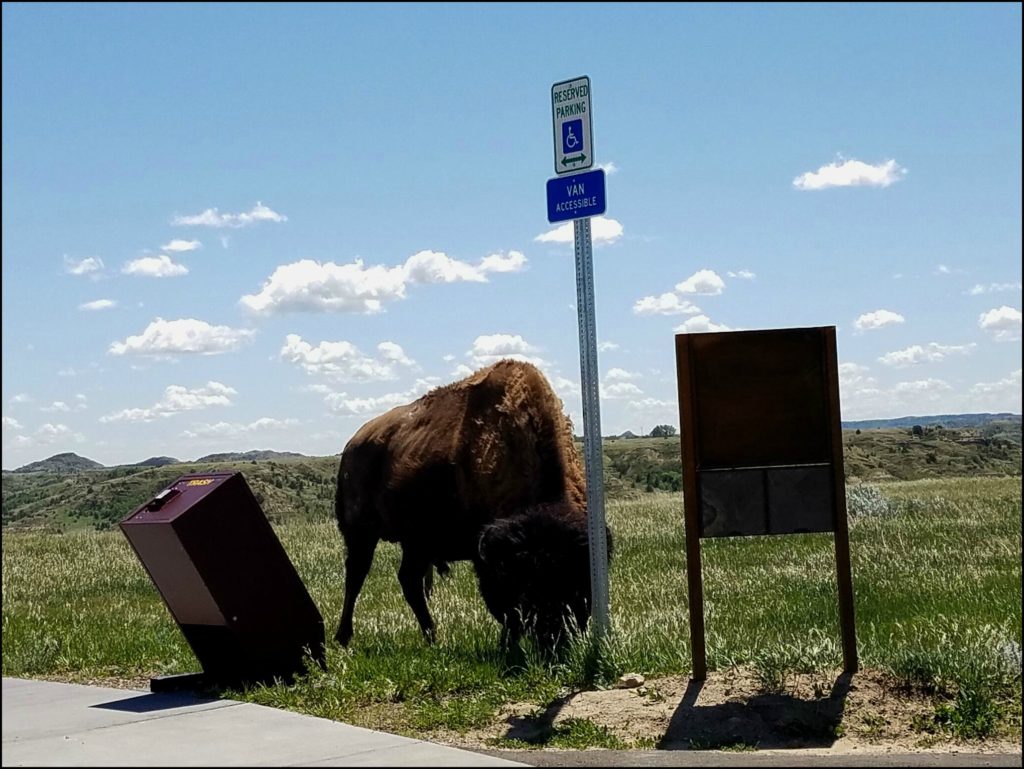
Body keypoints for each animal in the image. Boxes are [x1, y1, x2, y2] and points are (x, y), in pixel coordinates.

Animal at [331, 358, 610, 647]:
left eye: (581, 577)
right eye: (526, 582)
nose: (556, 635)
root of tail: (353, 445)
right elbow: (505, 612)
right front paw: (508, 645)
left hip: (415, 541)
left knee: (408, 580)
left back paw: (432, 637)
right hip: (361, 532)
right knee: (356, 575)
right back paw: (345, 637)